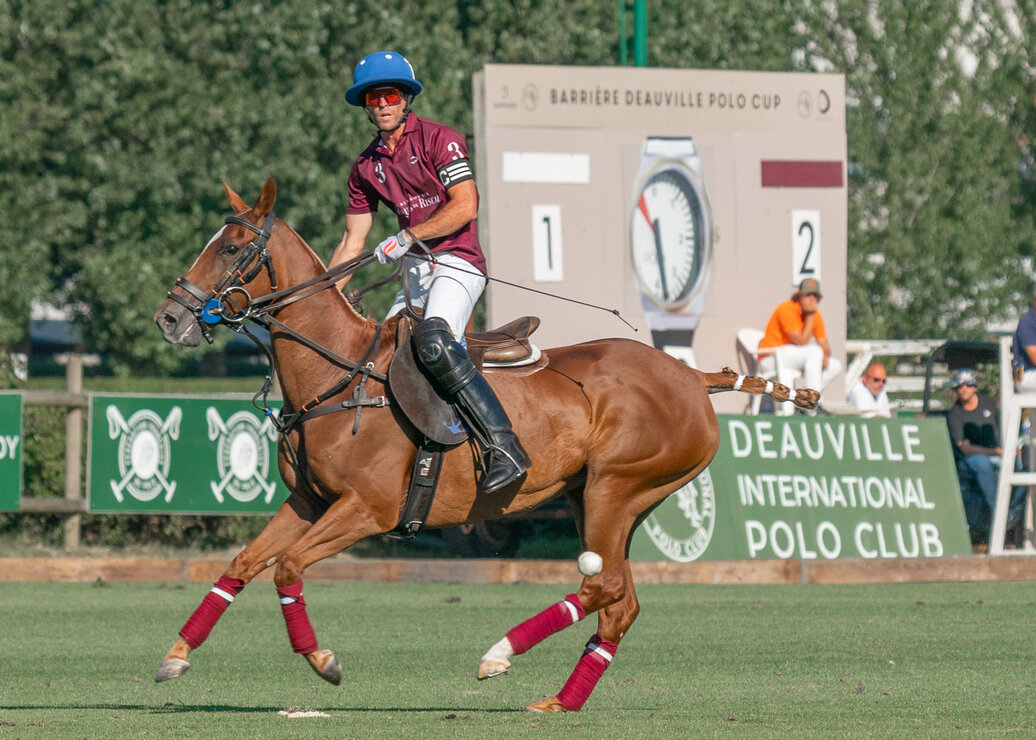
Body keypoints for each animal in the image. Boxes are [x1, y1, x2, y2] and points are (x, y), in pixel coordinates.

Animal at [153, 177, 816, 708]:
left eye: (231, 248)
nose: (170, 318)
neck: (336, 374)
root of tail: (691, 375)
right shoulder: (310, 502)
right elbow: (242, 563)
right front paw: (175, 655)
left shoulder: (368, 508)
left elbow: (287, 565)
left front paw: (323, 662)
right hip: (602, 497)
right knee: (619, 600)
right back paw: (560, 701)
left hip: (618, 485)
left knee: (603, 586)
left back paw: (499, 654)